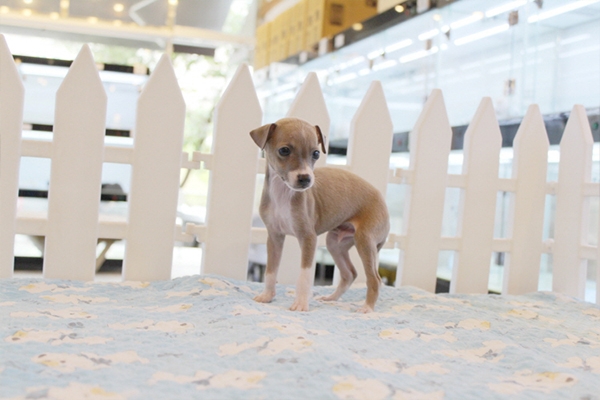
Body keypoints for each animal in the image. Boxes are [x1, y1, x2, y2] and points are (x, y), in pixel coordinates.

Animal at [248, 116, 390, 312]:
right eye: (284, 150)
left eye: (316, 153)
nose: (305, 179)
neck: (283, 193)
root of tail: (382, 200)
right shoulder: (274, 237)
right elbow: (270, 271)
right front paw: (267, 296)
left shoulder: (308, 238)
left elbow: (304, 276)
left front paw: (300, 303)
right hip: (336, 243)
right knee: (349, 273)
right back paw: (331, 298)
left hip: (365, 241)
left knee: (374, 279)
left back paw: (367, 308)